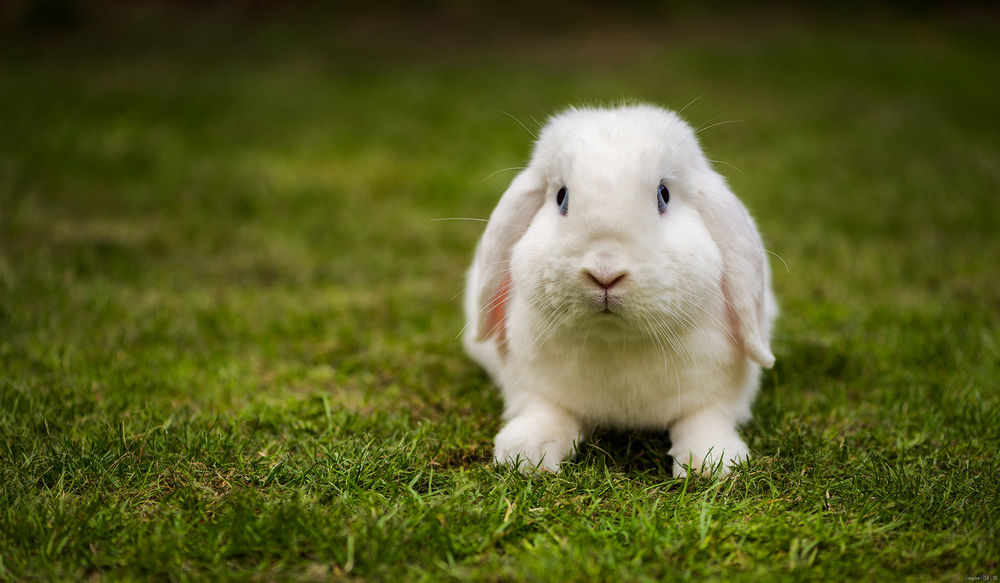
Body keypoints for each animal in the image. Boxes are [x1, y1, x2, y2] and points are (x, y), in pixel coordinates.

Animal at [463, 104, 776, 477]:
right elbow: (548, 411)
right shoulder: (534, 387)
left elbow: (703, 418)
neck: (616, 338)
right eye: (561, 197)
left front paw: (712, 461)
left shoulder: (718, 393)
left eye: (663, 195)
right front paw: (524, 453)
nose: (605, 273)